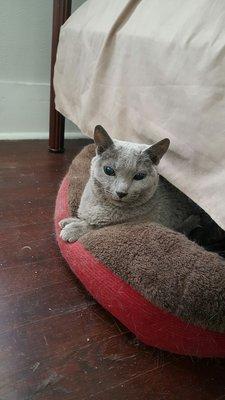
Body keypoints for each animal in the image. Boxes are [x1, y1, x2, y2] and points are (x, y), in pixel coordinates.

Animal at [59, 126, 201, 242]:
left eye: (139, 176)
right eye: (109, 170)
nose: (121, 192)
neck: (102, 204)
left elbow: (99, 226)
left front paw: (74, 228)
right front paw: (71, 220)